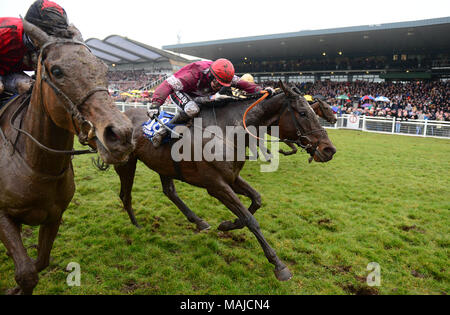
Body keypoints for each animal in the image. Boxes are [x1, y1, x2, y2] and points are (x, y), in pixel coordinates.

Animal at [0, 20, 134, 296]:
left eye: (104, 68)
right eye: (57, 71)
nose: (121, 134)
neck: (37, 165)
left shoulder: (54, 216)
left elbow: (38, 264)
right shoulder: (2, 216)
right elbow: (27, 274)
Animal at [114, 82, 336, 282]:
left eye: (315, 112)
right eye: (303, 113)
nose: (329, 150)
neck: (224, 133)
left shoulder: (232, 178)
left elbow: (256, 201)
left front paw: (228, 224)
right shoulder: (216, 186)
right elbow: (250, 219)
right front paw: (278, 265)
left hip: (162, 165)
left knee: (169, 191)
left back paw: (199, 221)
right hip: (126, 163)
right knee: (126, 194)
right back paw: (136, 225)